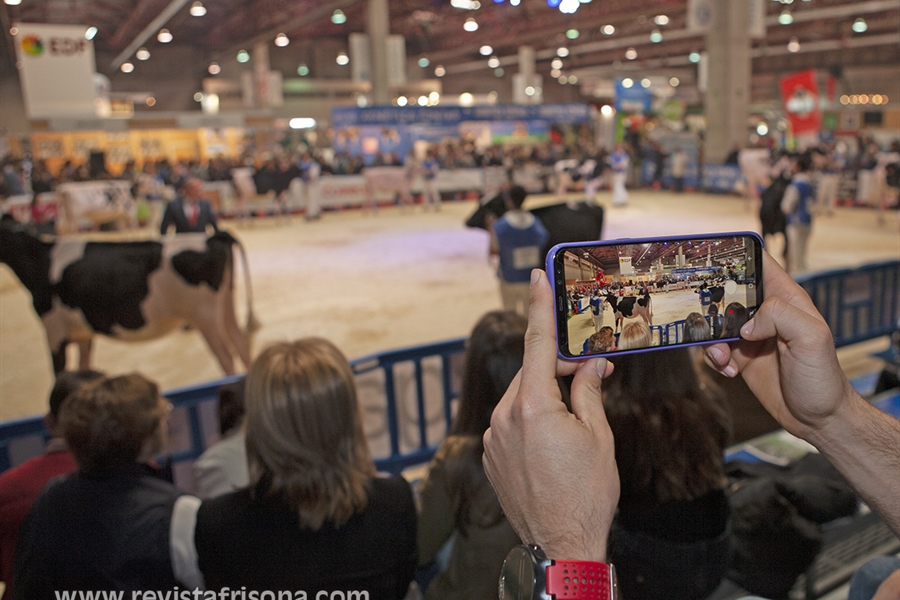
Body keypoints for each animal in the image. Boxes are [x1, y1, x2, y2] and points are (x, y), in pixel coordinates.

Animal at [0, 214, 260, 376]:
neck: (41, 260)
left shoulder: (54, 331)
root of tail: (212, 236)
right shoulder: (83, 332)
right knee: (241, 342)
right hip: (225, 303)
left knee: (226, 356)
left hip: (204, 315)